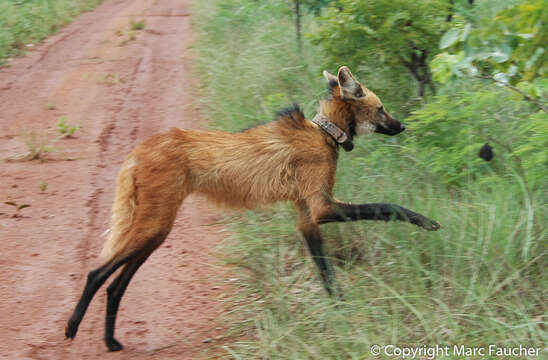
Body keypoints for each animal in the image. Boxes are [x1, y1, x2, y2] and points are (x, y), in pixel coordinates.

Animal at [66, 66, 440, 350]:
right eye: (381, 109)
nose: (402, 125)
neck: (326, 133)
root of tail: (138, 150)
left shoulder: (307, 218)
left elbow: (325, 271)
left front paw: (340, 309)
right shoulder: (321, 207)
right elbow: (388, 206)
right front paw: (426, 221)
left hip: (156, 231)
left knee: (115, 284)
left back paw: (111, 341)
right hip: (154, 224)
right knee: (96, 273)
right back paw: (72, 329)